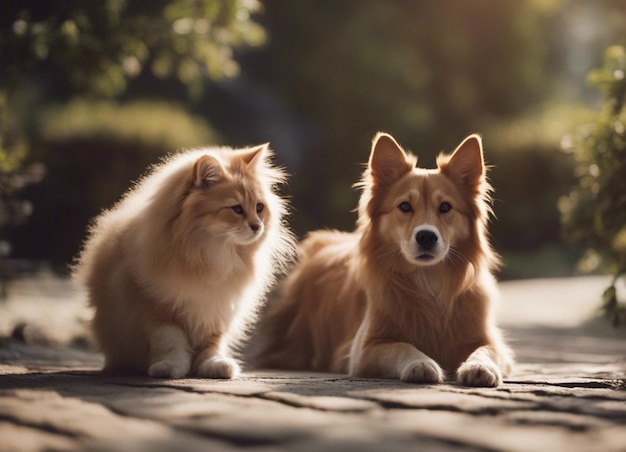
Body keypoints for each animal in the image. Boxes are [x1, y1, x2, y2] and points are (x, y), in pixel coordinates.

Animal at [74, 144, 294, 378]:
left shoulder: (217, 311)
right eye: (237, 209)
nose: (257, 226)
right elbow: (170, 342)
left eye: (259, 208)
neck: (212, 255)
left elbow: (213, 344)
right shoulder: (159, 310)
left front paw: (214, 365)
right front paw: (170, 367)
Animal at [254, 132, 512, 386]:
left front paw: (480, 366)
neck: (428, 279)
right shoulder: (366, 348)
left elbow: (486, 350)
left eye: (445, 207)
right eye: (405, 206)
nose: (426, 237)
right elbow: (401, 346)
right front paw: (421, 363)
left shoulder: (493, 342)